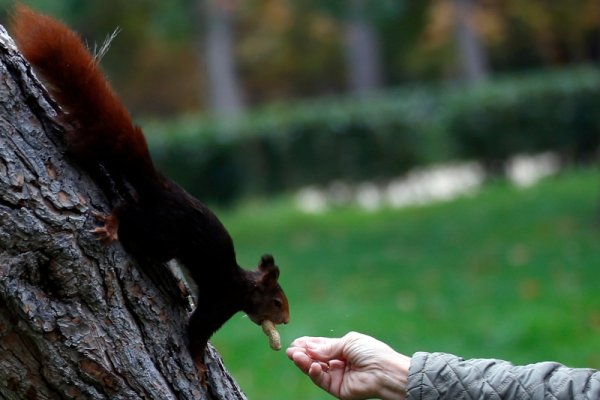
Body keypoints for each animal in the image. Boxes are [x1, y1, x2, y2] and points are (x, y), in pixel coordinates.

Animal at [11, 4, 288, 376]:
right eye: (276, 301)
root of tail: (160, 185)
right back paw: (113, 223)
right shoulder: (220, 300)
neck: (241, 285)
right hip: (162, 235)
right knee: (129, 214)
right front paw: (198, 366)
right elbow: (197, 331)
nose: (286, 321)